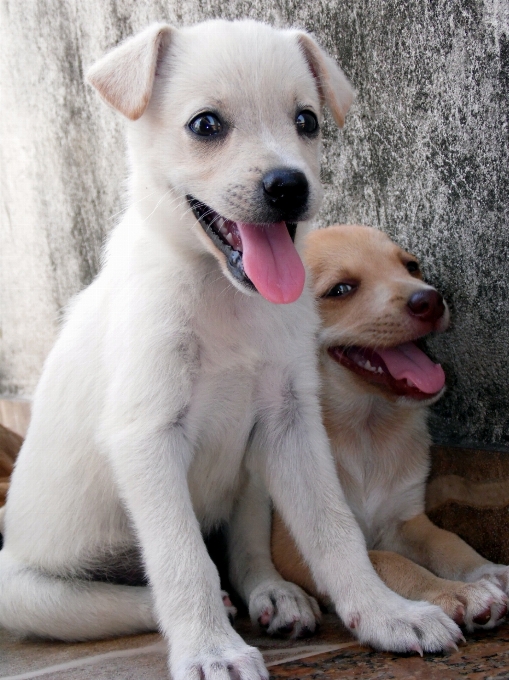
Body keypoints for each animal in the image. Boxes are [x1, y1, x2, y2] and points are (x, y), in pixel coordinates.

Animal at [0, 22, 460, 680]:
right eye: (206, 125)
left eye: (306, 120)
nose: (290, 187)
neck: (223, 295)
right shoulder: (147, 437)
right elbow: (183, 558)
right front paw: (210, 649)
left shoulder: (292, 423)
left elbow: (334, 530)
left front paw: (386, 613)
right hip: (28, 590)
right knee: (144, 588)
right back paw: (210, 610)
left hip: (252, 475)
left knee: (243, 550)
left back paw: (275, 595)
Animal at [272, 226, 508, 636]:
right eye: (340, 289)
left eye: (411, 266)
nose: (431, 300)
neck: (366, 428)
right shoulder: (295, 547)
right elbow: (385, 560)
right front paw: (458, 593)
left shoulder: (406, 519)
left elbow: (449, 542)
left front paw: (488, 572)